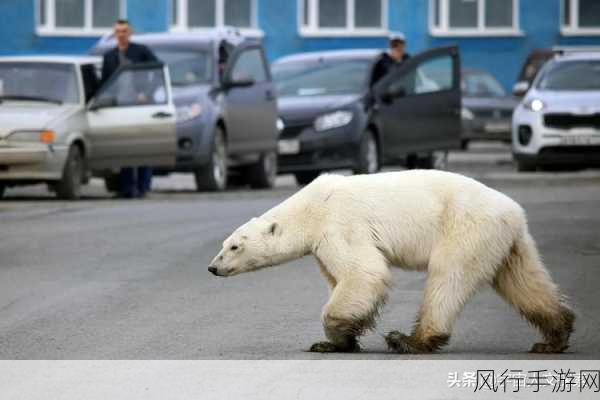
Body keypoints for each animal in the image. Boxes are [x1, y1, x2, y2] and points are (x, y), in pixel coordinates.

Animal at [209, 170, 576, 354]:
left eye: (235, 246)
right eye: (224, 244)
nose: (212, 267)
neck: (310, 207)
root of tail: (514, 212)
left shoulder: (339, 224)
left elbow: (363, 273)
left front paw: (335, 337)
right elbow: (340, 278)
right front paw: (334, 342)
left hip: (466, 227)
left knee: (448, 276)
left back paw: (409, 340)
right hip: (507, 241)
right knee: (523, 281)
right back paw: (553, 337)